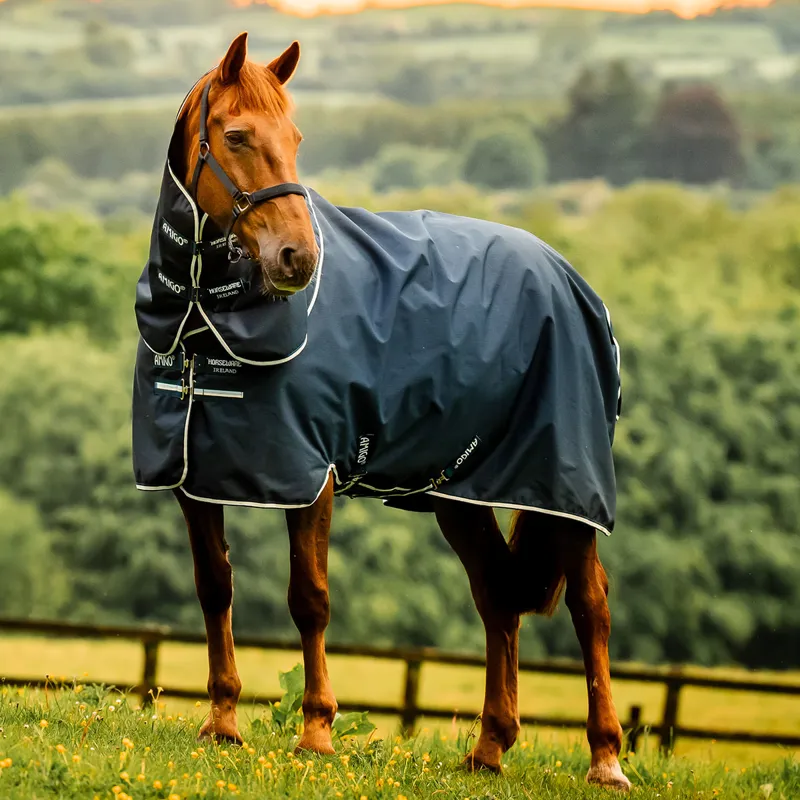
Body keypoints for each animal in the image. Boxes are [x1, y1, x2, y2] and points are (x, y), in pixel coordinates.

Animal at [150, 32, 630, 791]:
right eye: (236, 135)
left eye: (296, 138)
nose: (297, 258)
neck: (205, 325)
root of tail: (571, 278)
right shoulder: (195, 479)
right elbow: (214, 588)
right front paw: (222, 722)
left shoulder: (310, 478)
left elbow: (309, 597)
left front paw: (317, 733)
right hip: (461, 494)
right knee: (497, 597)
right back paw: (489, 749)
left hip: (566, 489)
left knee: (592, 606)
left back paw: (607, 758)